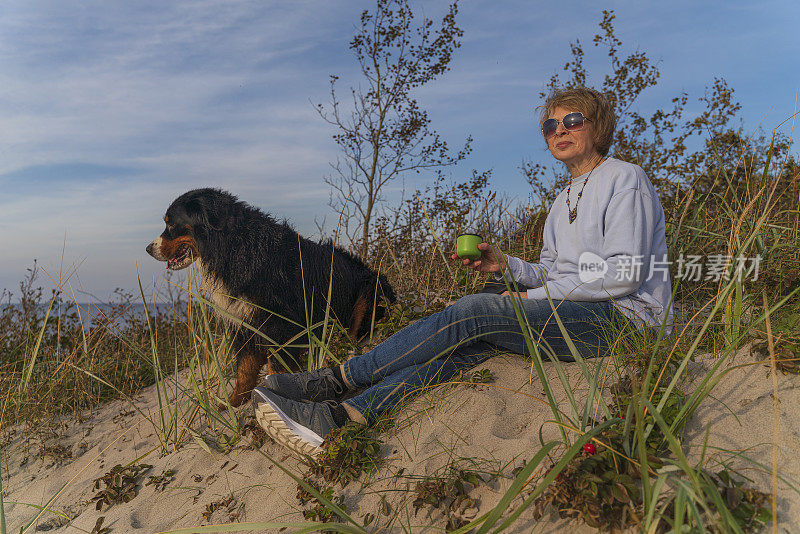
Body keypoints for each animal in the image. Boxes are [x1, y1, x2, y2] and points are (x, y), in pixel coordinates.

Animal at [145, 187, 396, 406]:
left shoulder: (278, 324)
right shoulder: (242, 321)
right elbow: (244, 368)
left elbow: (277, 366)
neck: (232, 250)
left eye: (170, 223)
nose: (148, 249)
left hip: (370, 290)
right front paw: (234, 403)